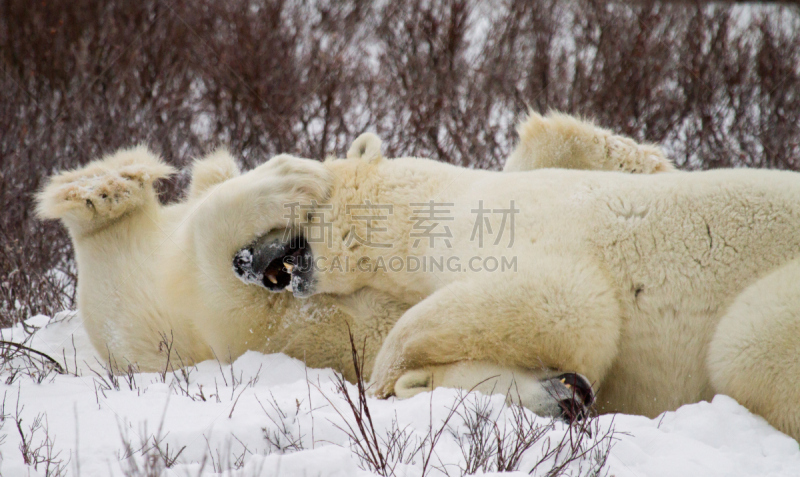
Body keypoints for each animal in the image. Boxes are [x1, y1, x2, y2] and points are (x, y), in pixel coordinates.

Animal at [234, 116, 800, 442]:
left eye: (289, 205)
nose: (241, 258)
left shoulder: (528, 233)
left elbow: (571, 306)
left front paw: (383, 379)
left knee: (743, 347)